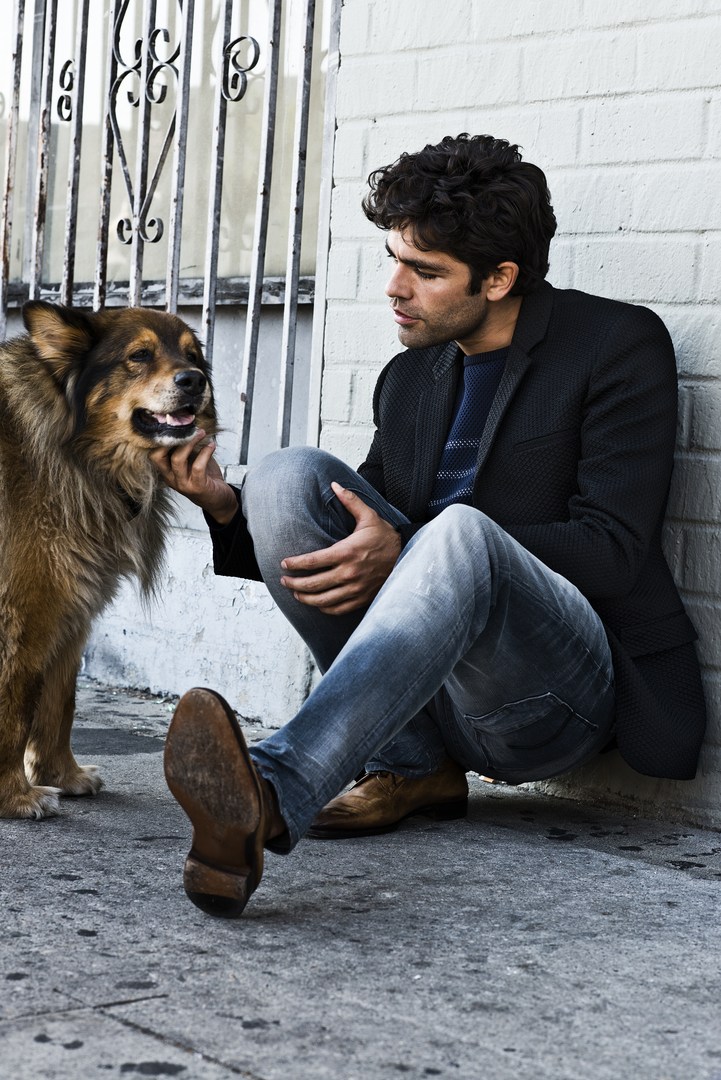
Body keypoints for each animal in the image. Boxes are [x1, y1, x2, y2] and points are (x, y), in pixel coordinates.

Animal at [0, 302, 216, 816]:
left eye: (193, 355)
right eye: (139, 356)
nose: (195, 381)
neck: (74, 452)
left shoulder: (71, 611)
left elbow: (60, 700)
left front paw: (63, 775)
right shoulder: (24, 614)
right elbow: (14, 709)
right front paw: (14, 796)